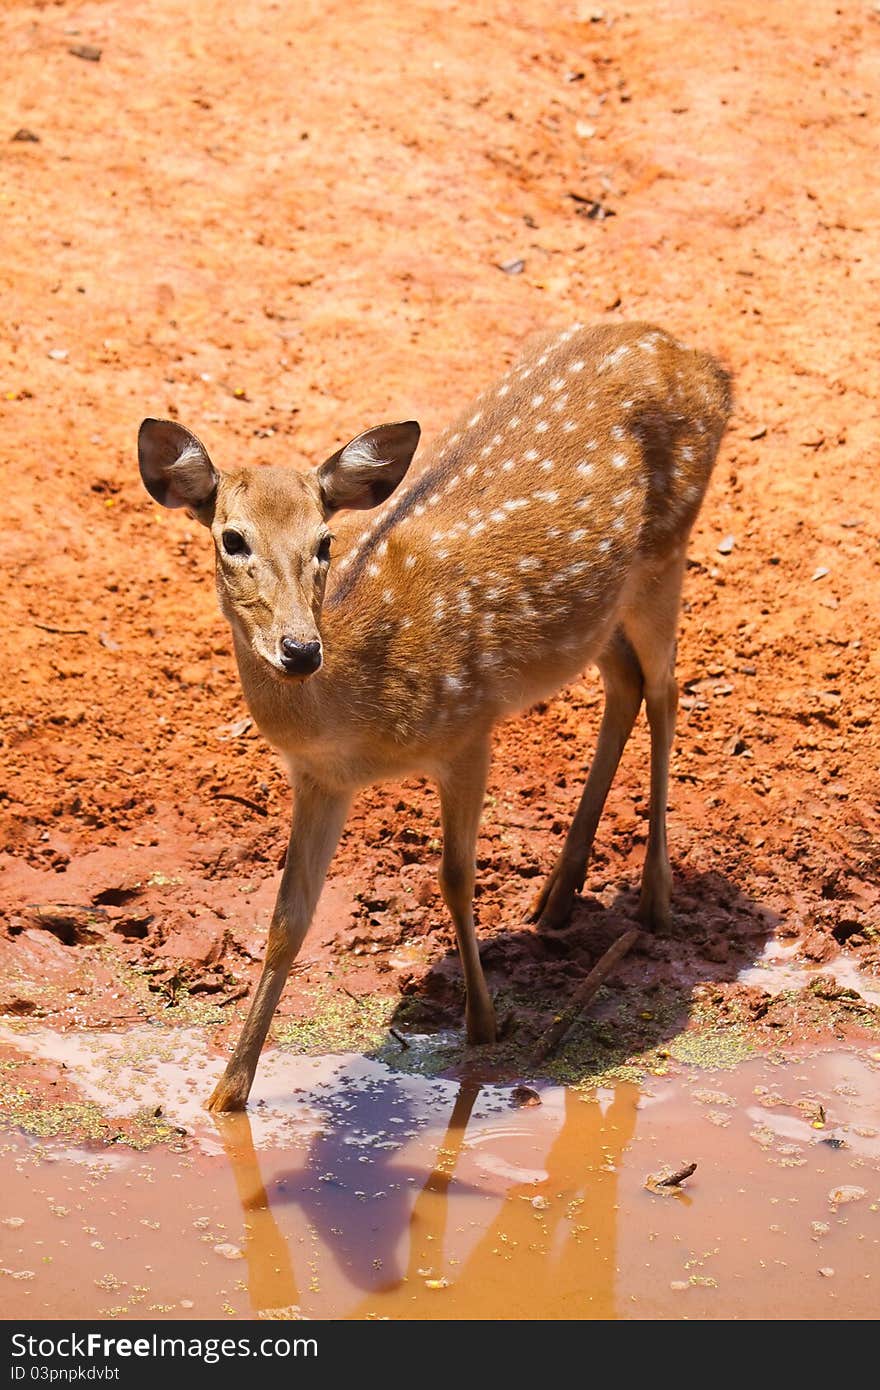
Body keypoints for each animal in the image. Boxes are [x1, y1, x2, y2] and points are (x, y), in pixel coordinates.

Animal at [137, 319, 728, 1112]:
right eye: (232, 539)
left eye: (324, 541)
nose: (299, 649)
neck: (356, 717)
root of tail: (705, 363)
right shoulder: (320, 779)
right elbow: (289, 917)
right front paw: (226, 1096)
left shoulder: (469, 725)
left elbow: (454, 874)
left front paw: (483, 1024)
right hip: (600, 611)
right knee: (628, 684)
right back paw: (557, 895)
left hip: (667, 550)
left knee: (667, 689)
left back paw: (655, 899)